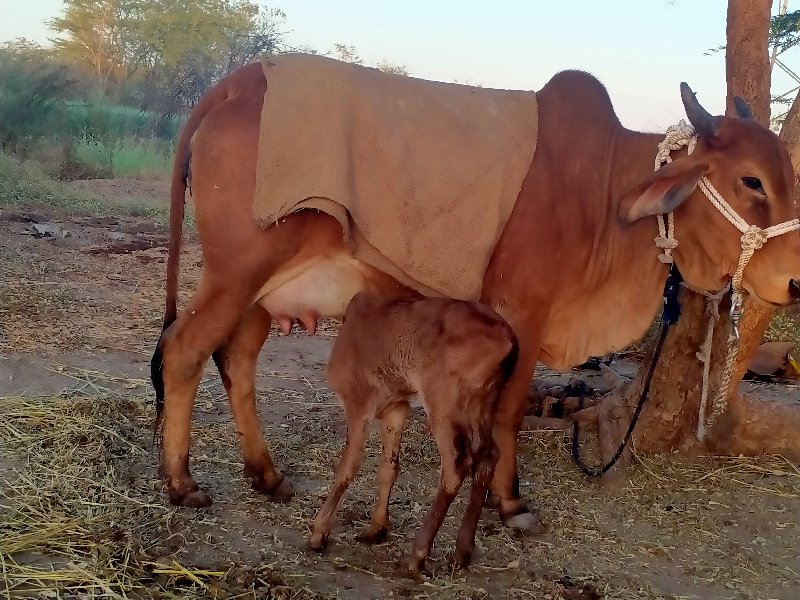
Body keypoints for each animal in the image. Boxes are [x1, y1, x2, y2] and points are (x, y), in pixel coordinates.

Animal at [148, 57, 800, 536]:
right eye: (750, 180)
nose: (794, 281)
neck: (604, 190)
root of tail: (242, 80)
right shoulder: (523, 315)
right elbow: (507, 411)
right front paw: (510, 503)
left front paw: (488, 495)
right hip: (235, 272)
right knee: (183, 349)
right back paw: (181, 483)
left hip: (261, 293)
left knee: (236, 359)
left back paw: (265, 475)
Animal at [306, 290, 520, 572]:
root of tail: (508, 341)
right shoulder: (396, 407)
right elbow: (389, 466)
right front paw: (376, 529)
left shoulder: (356, 402)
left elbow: (347, 467)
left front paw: (318, 534)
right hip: (481, 404)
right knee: (488, 455)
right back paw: (461, 553)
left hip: (442, 402)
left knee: (457, 462)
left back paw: (417, 555)